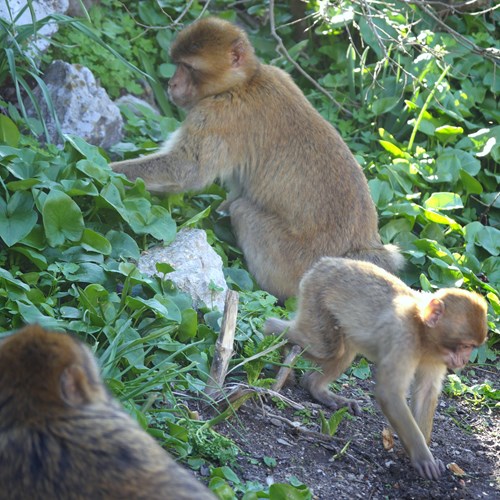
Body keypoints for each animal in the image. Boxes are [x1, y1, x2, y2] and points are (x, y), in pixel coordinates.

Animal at [112, 17, 402, 300]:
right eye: (177, 65)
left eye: (188, 67)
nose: (171, 84)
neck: (245, 81)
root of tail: (359, 250)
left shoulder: (217, 113)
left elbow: (186, 171)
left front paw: (107, 169)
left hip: (293, 260)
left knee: (243, 211)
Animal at [266, 258, 488, 480]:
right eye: (465, 346)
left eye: (472, 348)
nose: (464, 360)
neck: (422, 332)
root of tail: (325, 262)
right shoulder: (402, 337)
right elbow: (390, 393)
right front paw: (422, 457)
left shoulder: (436, 356)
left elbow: (426, 392)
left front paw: (416, 452)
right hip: (315, 295)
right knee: (323, 347)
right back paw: (273, 340)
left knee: (341, 351)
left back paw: (316, 388)